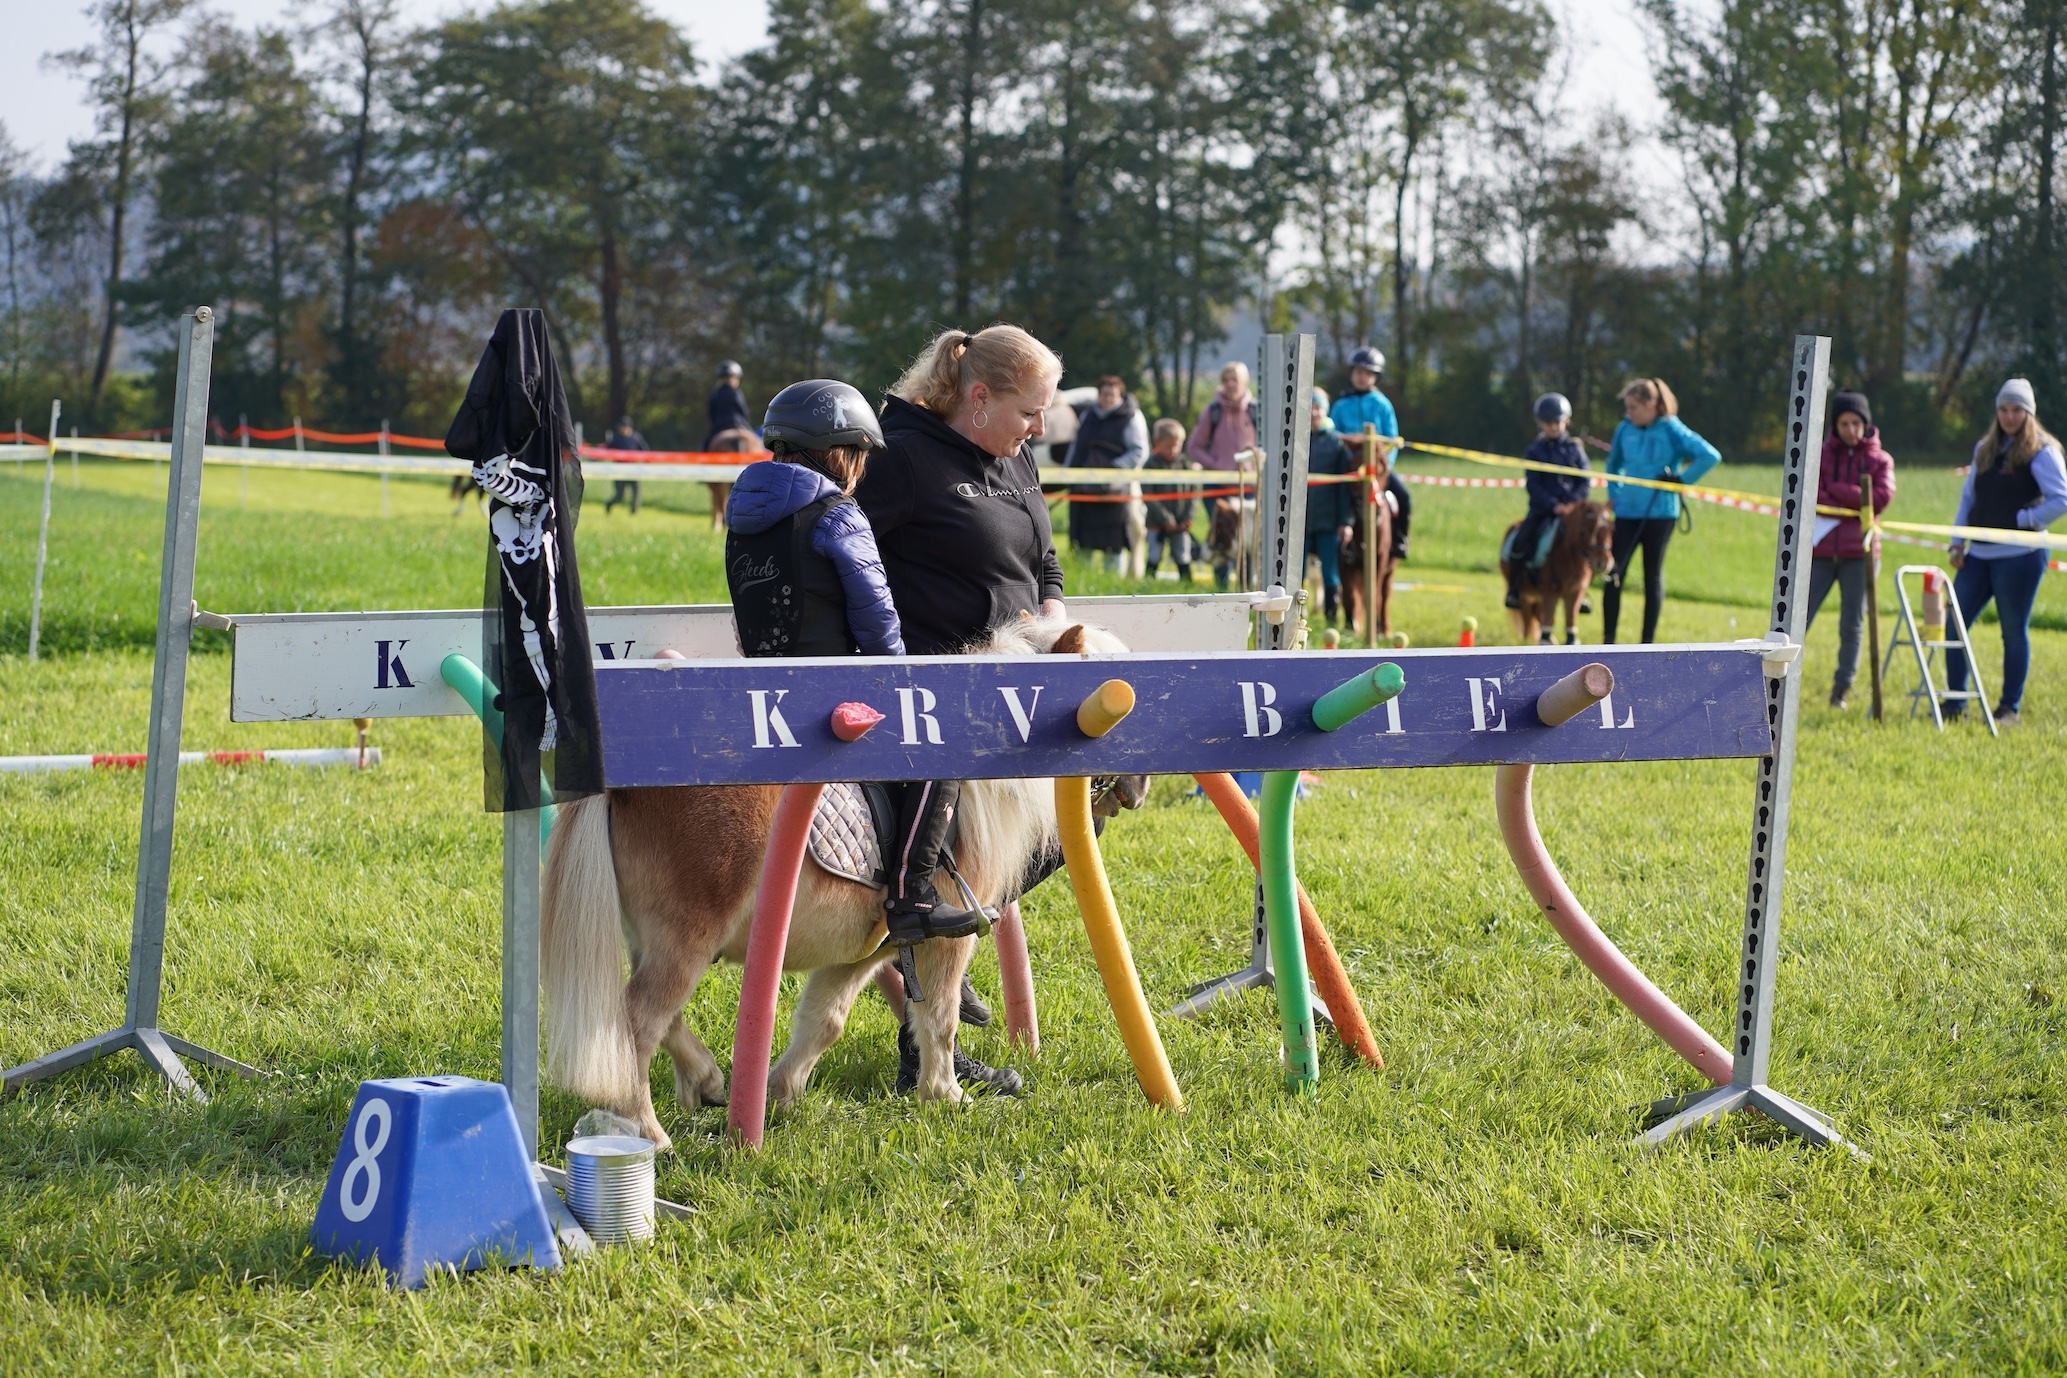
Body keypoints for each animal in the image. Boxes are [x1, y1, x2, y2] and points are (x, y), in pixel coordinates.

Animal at [541, 615, 1137, 1150]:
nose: (1136, 788)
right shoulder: (946, 942)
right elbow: (940, 1017)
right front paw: (946, 1096)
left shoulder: (867, 950)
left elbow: (826, 1020)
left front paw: (781, 1092)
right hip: (685, 940)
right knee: (637, 1024)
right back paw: (648, 1133)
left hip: (658, 942)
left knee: (658, 1021)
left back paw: (707, 1081)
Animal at [1338, 435, 1398, 640]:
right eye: (1353, 466)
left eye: (1384, 469)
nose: (1372, 508)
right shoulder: (1343, 562)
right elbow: (1349, 597)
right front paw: (1350, 629)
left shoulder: (1380, 560)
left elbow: (1375, 597)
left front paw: (1376, 631)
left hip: (1389, 570)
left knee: (1384, 596)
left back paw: (1383, 628)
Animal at [1501, 501, 1615, 645]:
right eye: (1583, 532)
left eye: (1611, 529)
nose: (1603, 562)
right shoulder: (1550, 590)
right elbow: (1549, 619)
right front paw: (1544, 640)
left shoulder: (1576, 591)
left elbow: (1570, 618)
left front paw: (1571, 640)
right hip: (1525, 593)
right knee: (1528, 615)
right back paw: (1527, 640)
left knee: (1537, 613)